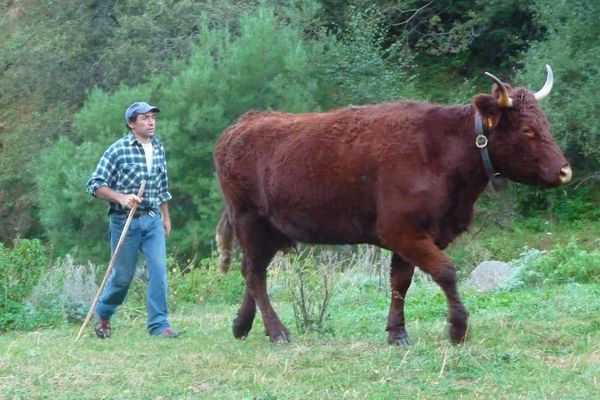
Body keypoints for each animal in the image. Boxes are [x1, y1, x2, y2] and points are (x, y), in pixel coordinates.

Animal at [213, 65, 568, 344]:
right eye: (527, 130)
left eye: (545, 124)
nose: (566, 171)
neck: (441, 152)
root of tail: (240, 126)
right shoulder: (401, 230)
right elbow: (445, 271)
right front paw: (458, 328)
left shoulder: (414, 236)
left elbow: (401, 282)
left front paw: (397, 332)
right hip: (248, 220)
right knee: (255, 274)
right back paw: (277, 331)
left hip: (270, 230)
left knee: (253, 271)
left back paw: (241, 325)